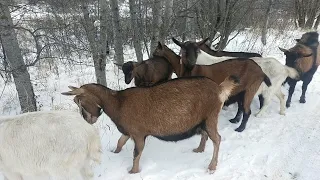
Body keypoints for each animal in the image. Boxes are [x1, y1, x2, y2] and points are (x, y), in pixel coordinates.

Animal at [62, 75, 240, 173]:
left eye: (79, 101)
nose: (88, 120)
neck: (118, 103)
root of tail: (219, 89)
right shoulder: (128, 131)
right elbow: (120, 141)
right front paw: (115, 152)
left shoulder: (139, 133)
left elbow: (136, 153)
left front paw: (132, 171)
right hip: (202, 119)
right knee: (205, 134)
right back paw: (199, 149)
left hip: (211, 116)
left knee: (217, 138)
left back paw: (212, 166)